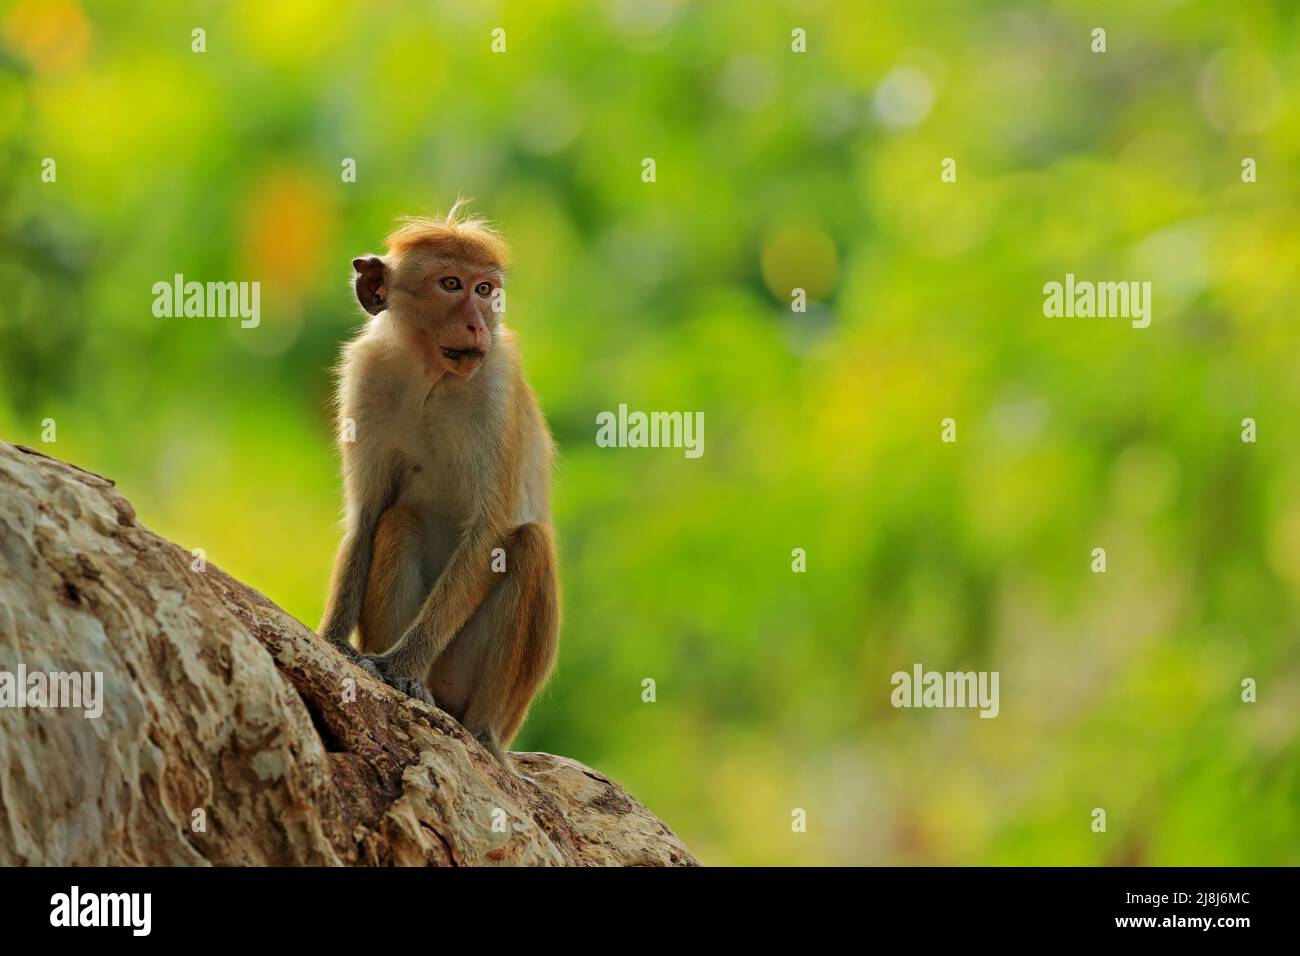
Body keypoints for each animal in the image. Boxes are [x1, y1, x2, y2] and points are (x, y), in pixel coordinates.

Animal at [317, 201, 559, 767]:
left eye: (486, 289)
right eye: (451, 284)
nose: (476, 322)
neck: (432, 377)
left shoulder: (496, 388)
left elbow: (490, 531)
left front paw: (402, 666)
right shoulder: (365, 378)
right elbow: (367, 515)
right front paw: (334, 641)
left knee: (528, 545)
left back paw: (477, 730)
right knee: (400, 520)